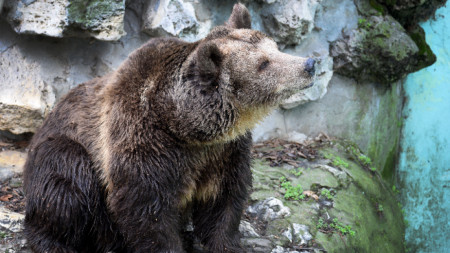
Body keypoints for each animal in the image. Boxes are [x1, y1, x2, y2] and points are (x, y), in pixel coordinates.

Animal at [22, 2, 314, 252]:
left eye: (275, 47)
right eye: (263, 63)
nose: (309, 64)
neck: (187, 128)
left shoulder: (225, 152)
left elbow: (225, 201)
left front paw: (226, 244)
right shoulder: (145, 143)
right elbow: (148, 211)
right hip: (61, 153)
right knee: (66, 180)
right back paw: (55, 243)